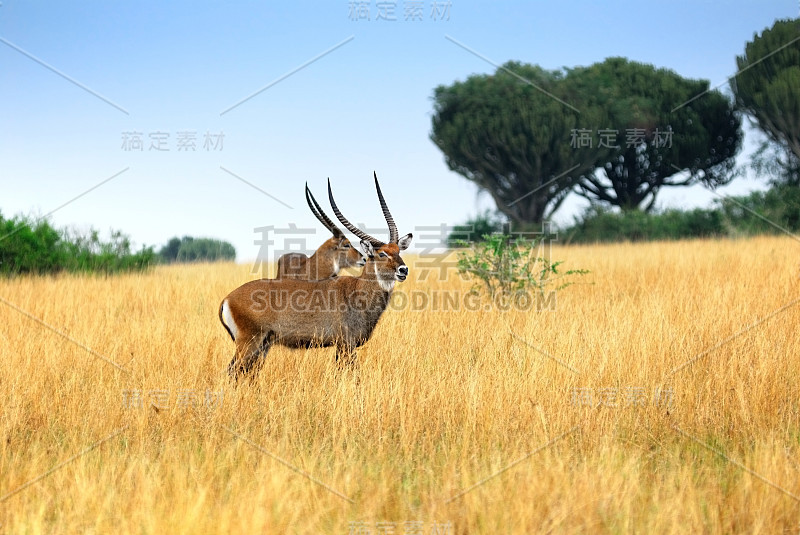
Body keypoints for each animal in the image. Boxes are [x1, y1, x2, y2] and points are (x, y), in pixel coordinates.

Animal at [222, 174, 416, 378]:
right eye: (382, 254)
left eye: (398, 250)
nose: (403, 270)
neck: (357, 291)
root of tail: (227, 299)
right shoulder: (346, 344)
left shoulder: (342, 346)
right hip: (249, 344)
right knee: (232, 371)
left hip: (262, 345)